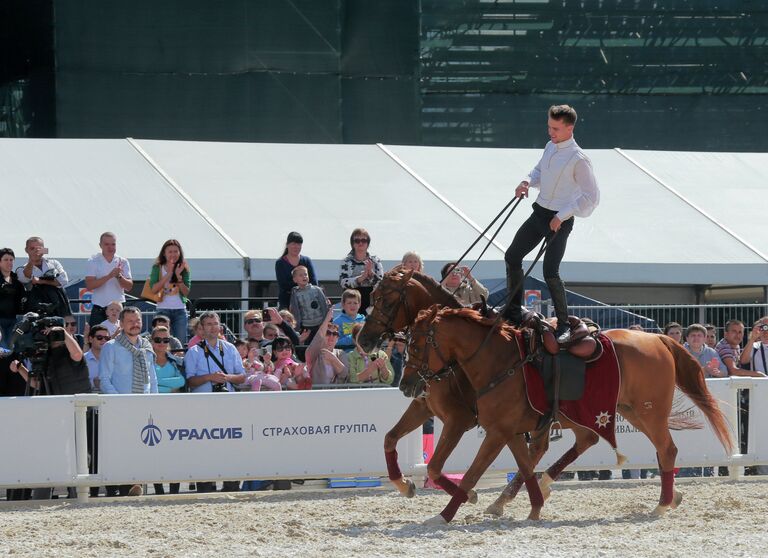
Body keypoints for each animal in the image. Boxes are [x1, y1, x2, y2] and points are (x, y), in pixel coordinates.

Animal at [400, 308, 736, 528]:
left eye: (416, 344)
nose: (407, 384)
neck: (500, 361)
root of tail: (658, 340)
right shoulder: (509, 432)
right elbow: (525, 466)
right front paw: (532, 508)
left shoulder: (493, 432)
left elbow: (470, 474)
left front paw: (445, 514)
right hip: (628, 411)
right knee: (609, 442)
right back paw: (669, 497)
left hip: (647, 412)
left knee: (666, 450)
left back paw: (662, 504)